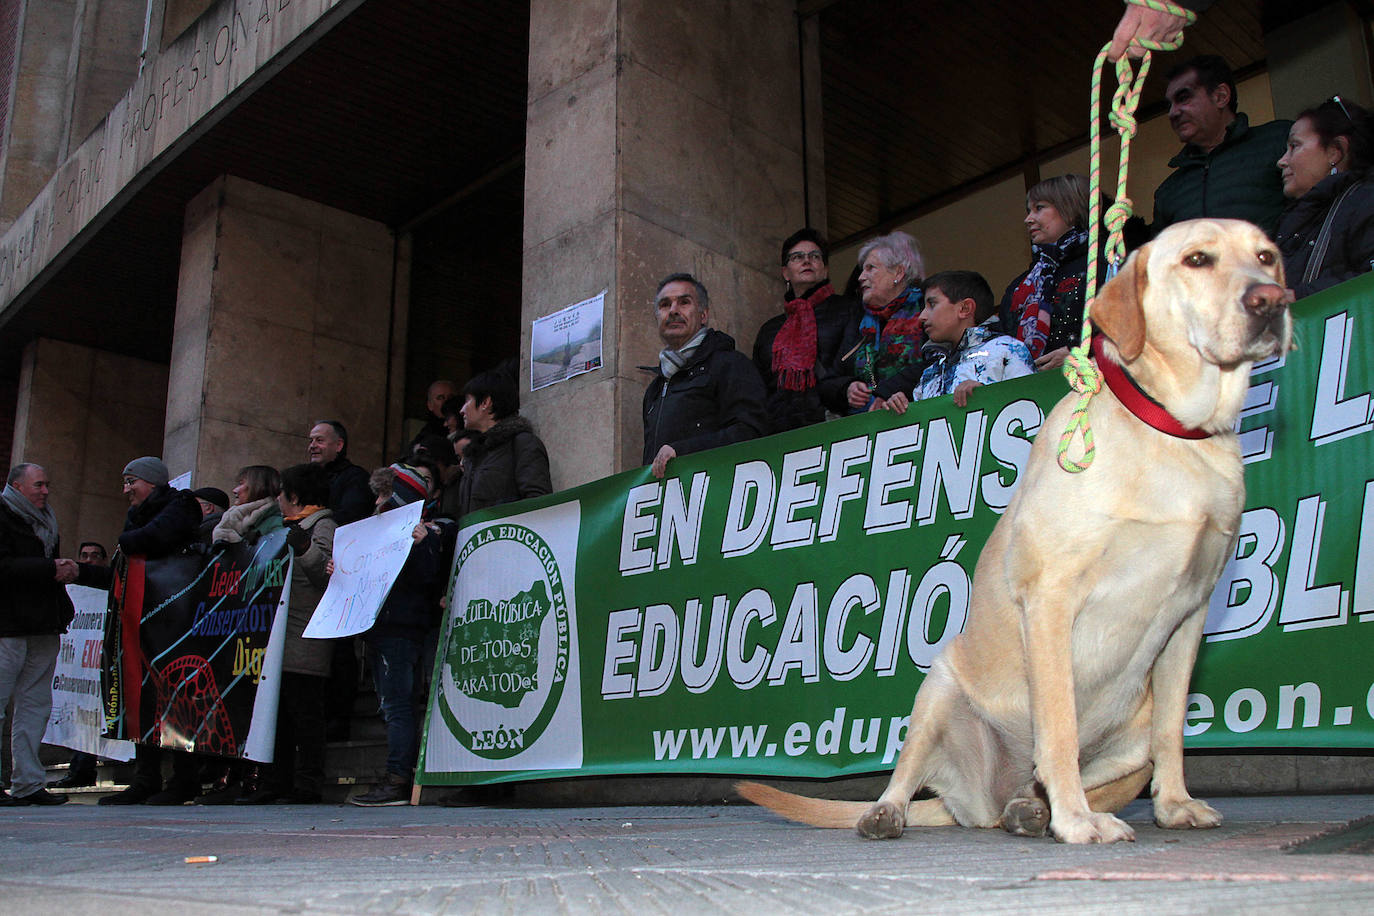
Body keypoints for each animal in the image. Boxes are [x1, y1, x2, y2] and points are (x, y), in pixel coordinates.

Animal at [741, 219, 1286, 845]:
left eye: (1266, 258)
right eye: (1197, 259)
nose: (1272, 301)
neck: (1172, 432)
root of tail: (979, 803)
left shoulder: (1188, 617)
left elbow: (1172, 731)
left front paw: (1173, 805)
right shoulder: (1052, 599)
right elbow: (1060, 726)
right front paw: (1077, 820)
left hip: (1130, 740)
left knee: (1090, 766)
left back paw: (1031, 809)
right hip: (939, 689)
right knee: (907, 777)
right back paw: (898, 812)